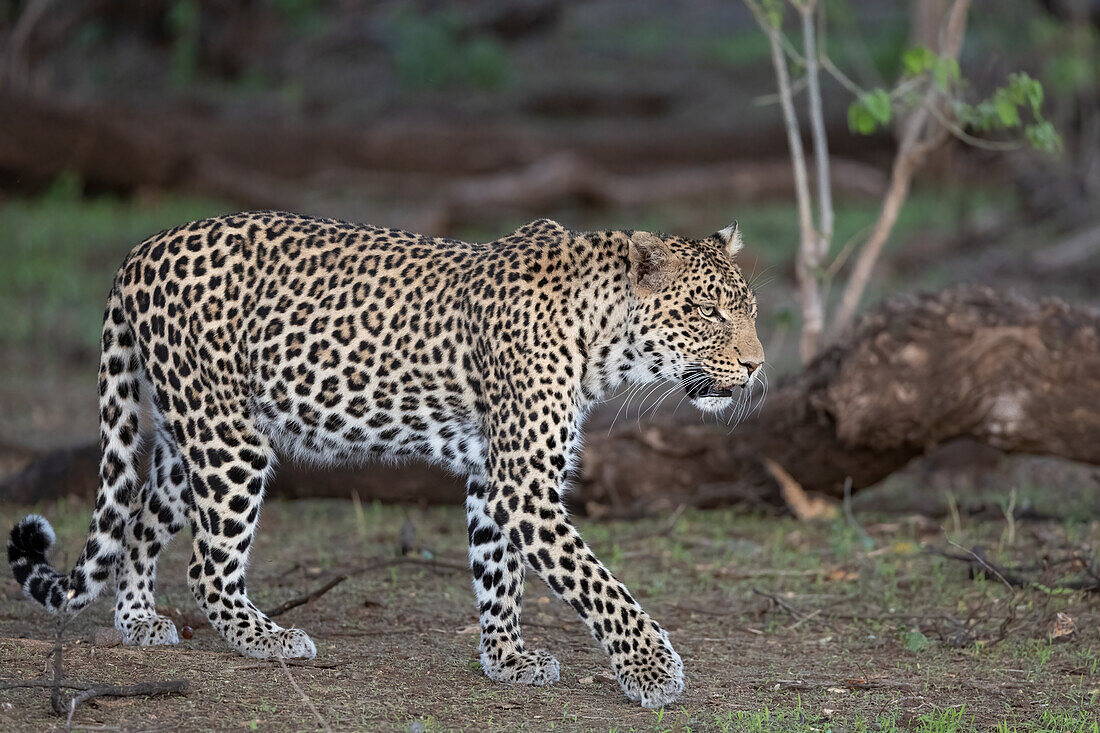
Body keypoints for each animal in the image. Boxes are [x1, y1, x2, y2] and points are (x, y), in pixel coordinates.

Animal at [8, 212, 765, 708]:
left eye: (750, 309)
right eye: (707, 313)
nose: (758, 365)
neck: (605, 340)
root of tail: (141, 248)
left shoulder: (492, 474)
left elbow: (499, 573)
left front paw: (506, 658)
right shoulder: (524, 481)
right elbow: (597, 582)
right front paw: (651, 669)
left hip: (189, 436)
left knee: (139, 520)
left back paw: (137, 620)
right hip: (230, 441)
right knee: (205, 566)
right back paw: (269, 639)